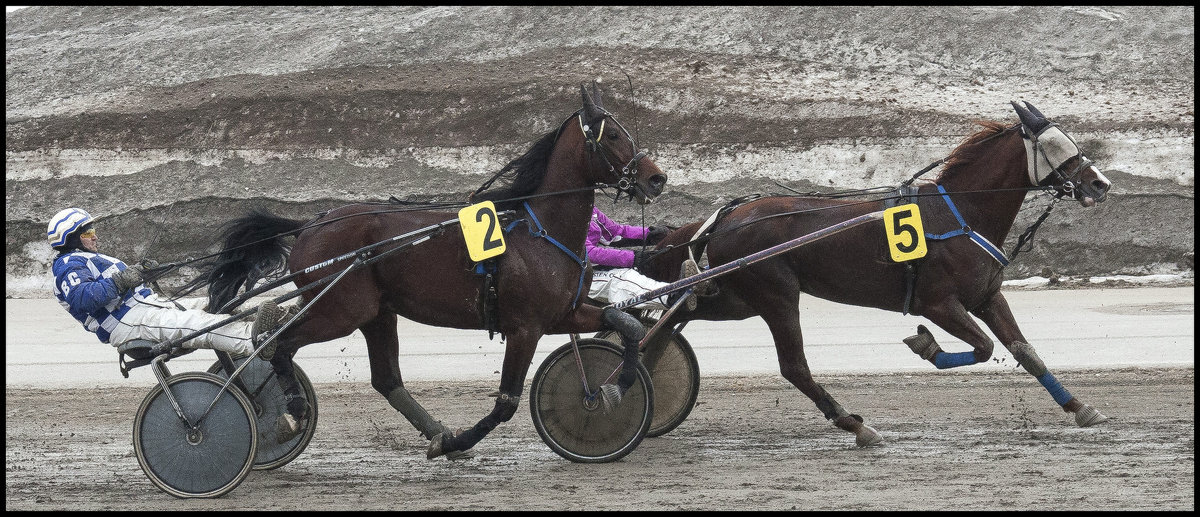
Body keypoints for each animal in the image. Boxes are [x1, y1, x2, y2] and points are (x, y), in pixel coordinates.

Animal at [194, 82, 667, 460]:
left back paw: (432, 429)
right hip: (340, 311)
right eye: (616, 135)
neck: (542, 232)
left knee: (384, 379)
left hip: (375, 313)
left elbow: (625, 323)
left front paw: (614, 387)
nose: (657, 179)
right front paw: (459, 440)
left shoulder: (562, 314)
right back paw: (289, 412)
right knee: (281, 345)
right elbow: (506, 403)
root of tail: (311, 224)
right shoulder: (525, 327)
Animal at [643, 103, 1108, 446]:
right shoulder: (937, 303)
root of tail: (727, 215)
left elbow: (1025, 351)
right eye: (1057, 146)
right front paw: (927, 346)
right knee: (794, 367)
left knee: (675, 314)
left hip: (739, 297)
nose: (1100, 184)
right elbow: (982, 347)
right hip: (776, 294)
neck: (959, 212)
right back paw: (856, 425)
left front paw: (1081, 408)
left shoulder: (986, 296)